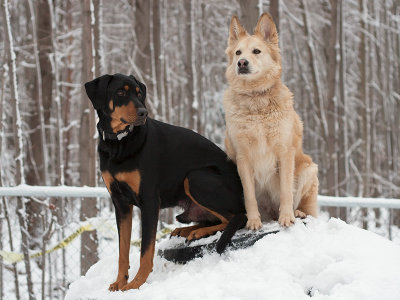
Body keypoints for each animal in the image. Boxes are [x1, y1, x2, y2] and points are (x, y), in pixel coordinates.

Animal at [85, 74, 247, 292]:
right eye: (120, 92)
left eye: (139, 94)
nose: (143, 112)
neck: (118, 143)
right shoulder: (120, 203)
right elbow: (123, 250)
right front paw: (120, 282)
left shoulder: (149, 202)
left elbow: (146, 250)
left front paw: (136, 284)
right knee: (215, 219)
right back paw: (187, 229)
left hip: (196, 178)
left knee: (237, 218)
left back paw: (198, 231)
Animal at [222, 12, 318, 229]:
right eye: (238, 52)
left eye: (256, 51)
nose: (242, 63)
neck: (256, 100)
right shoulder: (243, 157)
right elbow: (249, 196)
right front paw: (253, 221)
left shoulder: (285, 152)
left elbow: (286, 190)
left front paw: (287, 217)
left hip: (308, 168)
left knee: (306, 207)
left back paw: (298, 212)